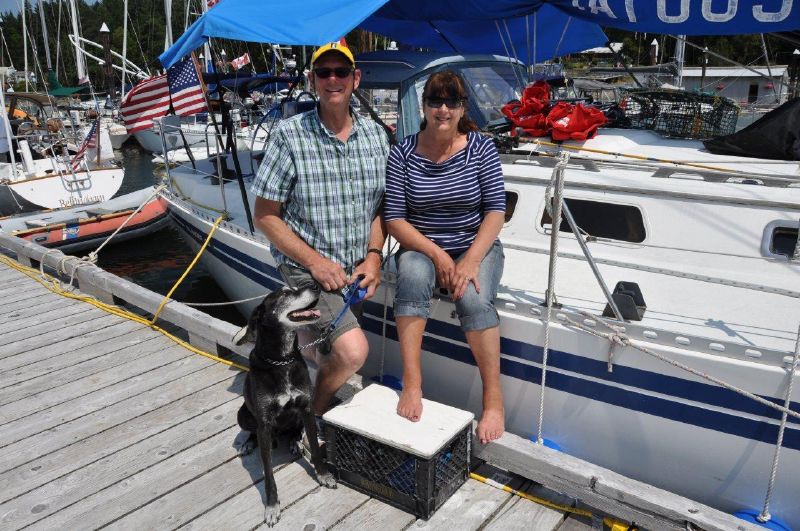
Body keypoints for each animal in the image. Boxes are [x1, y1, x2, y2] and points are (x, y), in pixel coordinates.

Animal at [233, 284, 336, 524]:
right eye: (284, 294)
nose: (317, 285)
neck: (282, 360)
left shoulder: (307, 409)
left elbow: (315, 447)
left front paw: (323, 475)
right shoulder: (264, 422)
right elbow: (268, 475)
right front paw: (272, 506)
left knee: (294, 431)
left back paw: (294, 442)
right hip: (243, 414)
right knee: (253, 432)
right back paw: (249, 443)